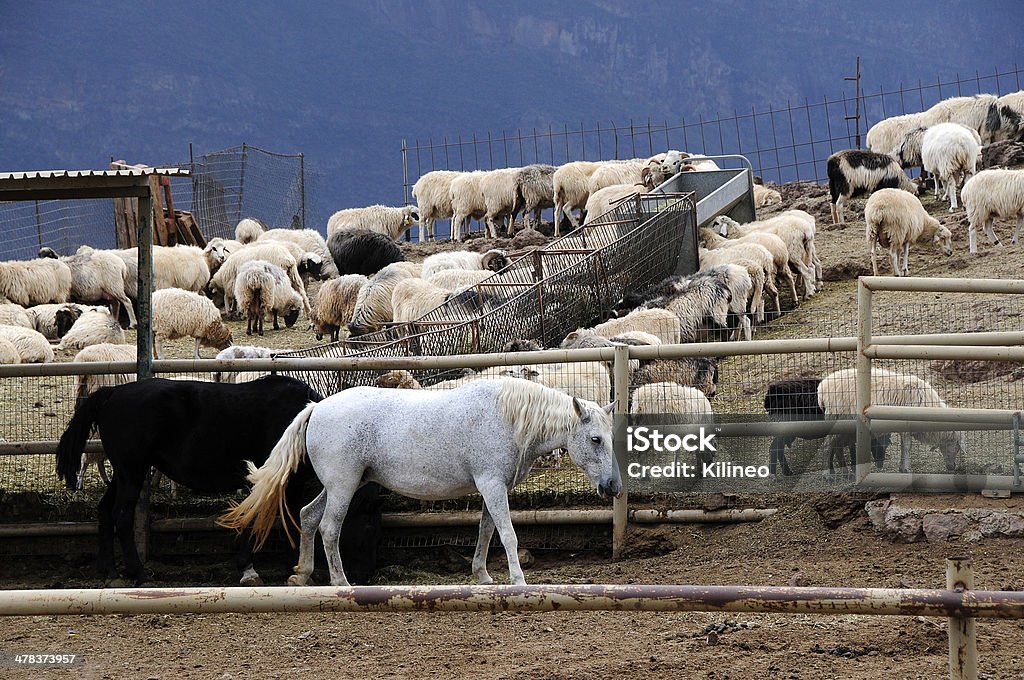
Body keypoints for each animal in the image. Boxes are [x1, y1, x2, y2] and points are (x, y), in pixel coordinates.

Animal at [52, 376, 380, 585]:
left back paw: (109, 571)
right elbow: (263, 517)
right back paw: (139, 573)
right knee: (121, 515)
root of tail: (112, 393)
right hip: (132, 471)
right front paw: (252, 568)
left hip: (124, 473)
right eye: (365, 520)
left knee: (105, 512)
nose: (367, 573)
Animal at [220, 378, 614, 585]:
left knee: (308, 516)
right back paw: (340, 582)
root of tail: (316, 407)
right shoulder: (491, 486)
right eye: (596, 439)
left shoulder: (493, 488)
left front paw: (483, 576)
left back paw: (302, 575)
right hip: (343, 487)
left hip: (342, 486)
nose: (612, 486)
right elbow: (507, 534)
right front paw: (517, 581)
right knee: (329, 528)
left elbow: (486, 531)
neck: (507, 417)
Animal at [811, 368, 962, 475]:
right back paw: (827, 474)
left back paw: (844, 472)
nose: (953, 467)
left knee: (838, 446)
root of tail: (822, 387)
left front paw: (902, 468)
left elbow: (904, 447)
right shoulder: (907, 426)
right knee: (828, 444)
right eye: (956, 446)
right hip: (836, 418)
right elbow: (907, 447)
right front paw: (906, 469)